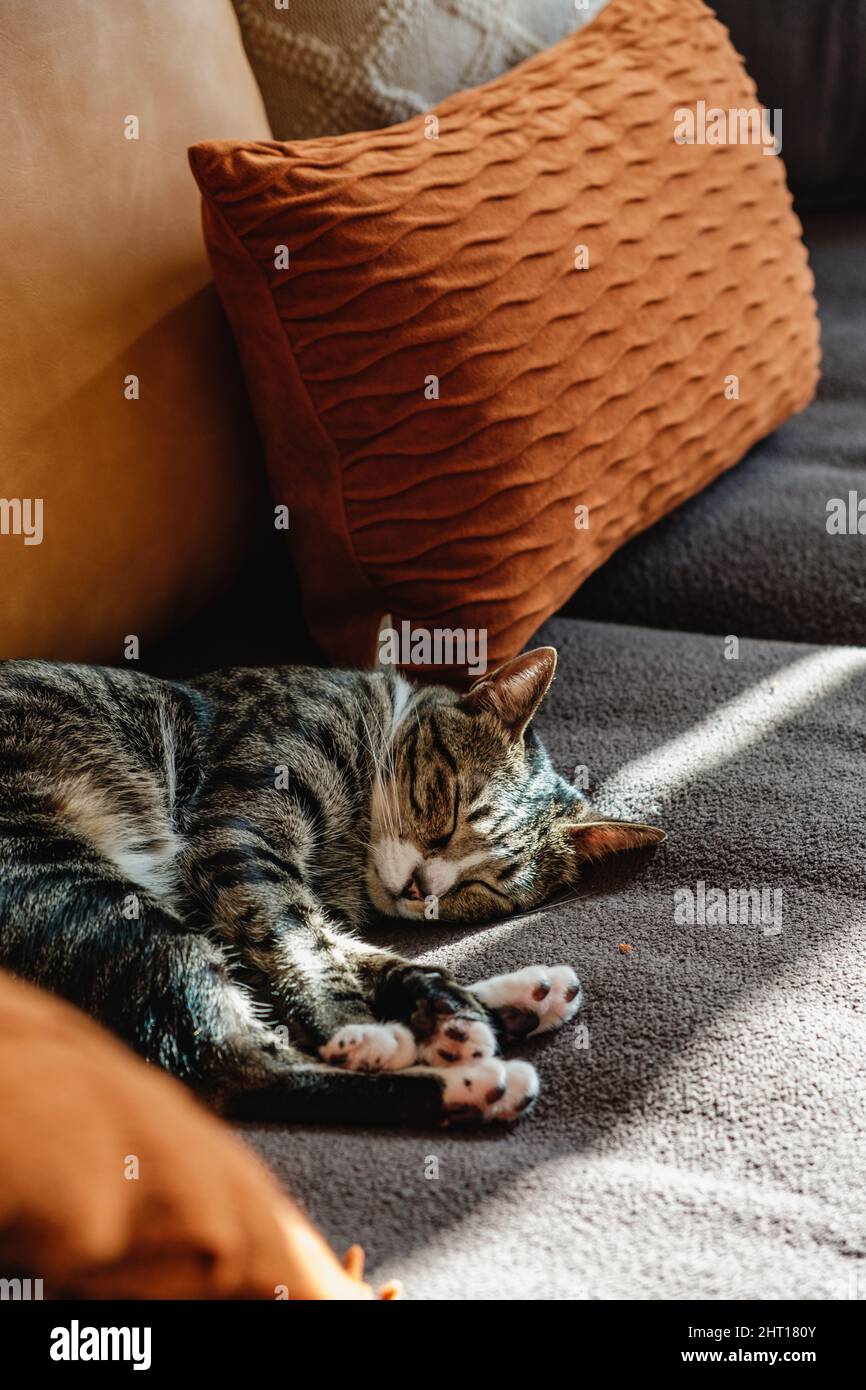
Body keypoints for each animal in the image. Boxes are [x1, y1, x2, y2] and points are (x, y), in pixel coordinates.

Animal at [0, 644, 664, 1123]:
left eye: (488, 888)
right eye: (447, 807)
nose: (421, 889)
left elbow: (346, 947)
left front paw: (448, 1005)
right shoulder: (238, 839)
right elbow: (304, 942)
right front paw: (359, 1024)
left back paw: (501, 1009)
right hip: (82, 888)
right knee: (233, 1066)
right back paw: (465, 1079)